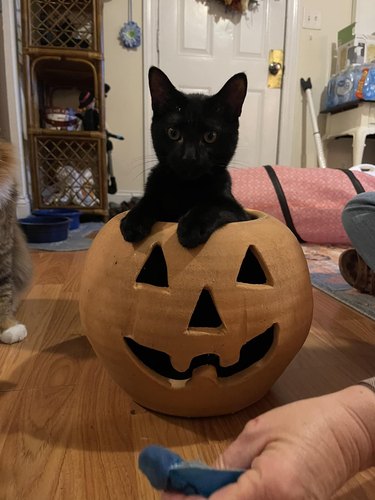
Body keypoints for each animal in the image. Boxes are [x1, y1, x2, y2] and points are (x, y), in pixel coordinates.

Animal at [122, 65, 251, 249]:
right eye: (173, 133)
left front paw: (192, 226)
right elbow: (149, 200)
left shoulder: (239, 212)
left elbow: (214, 205)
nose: (189, 157)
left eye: (210, 136)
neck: (185, 187)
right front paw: (133, 220)